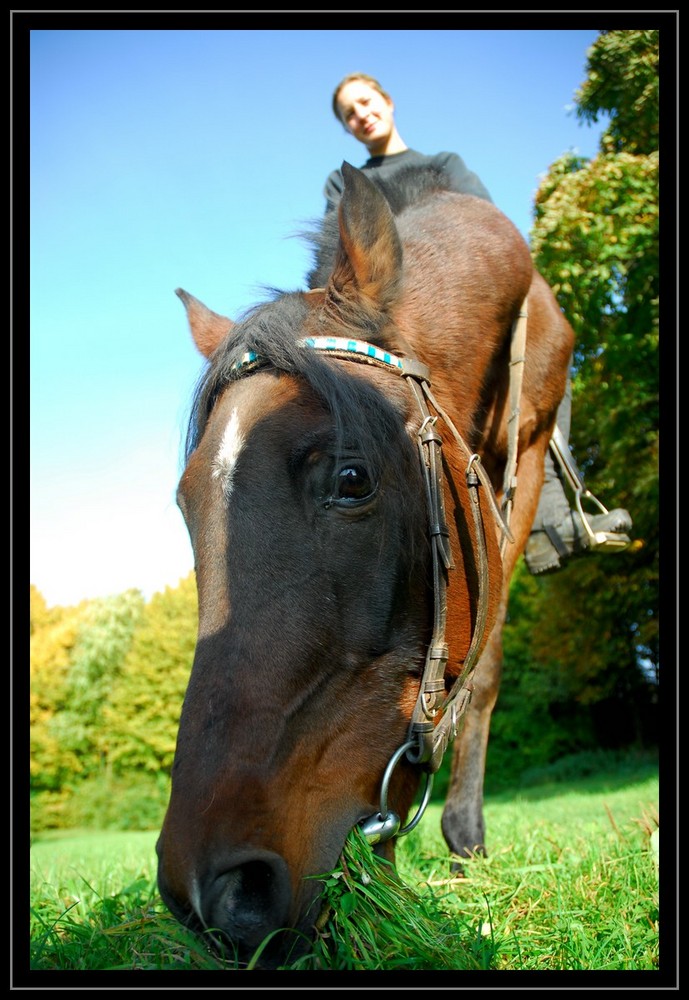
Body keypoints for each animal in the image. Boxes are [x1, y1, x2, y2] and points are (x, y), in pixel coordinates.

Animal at [157, 160, 576, 964]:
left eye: (352, 480)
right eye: (187, 508)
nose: (211, 894)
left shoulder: (525, 456)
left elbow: (480, 672)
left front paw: (464, 848)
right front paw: (383, 872)